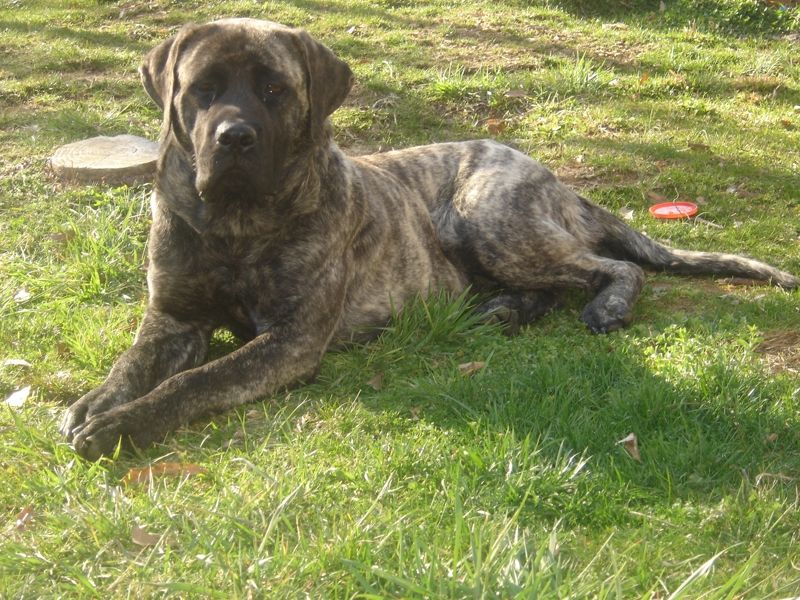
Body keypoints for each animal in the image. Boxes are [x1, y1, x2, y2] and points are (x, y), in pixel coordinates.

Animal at [61, 18, 792, 460]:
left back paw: (602, 306)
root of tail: (553, 177)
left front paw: (120, 426)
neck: (235, 226)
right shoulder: (173, 318)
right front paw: (95, 402)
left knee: (610, 268)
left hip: (487, 217)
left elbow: (195, 382)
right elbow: (133, 365)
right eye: (202, 89)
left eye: (273, 89)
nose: (233, 138)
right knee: (553, 286)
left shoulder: (289, 340)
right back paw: (502, 313)